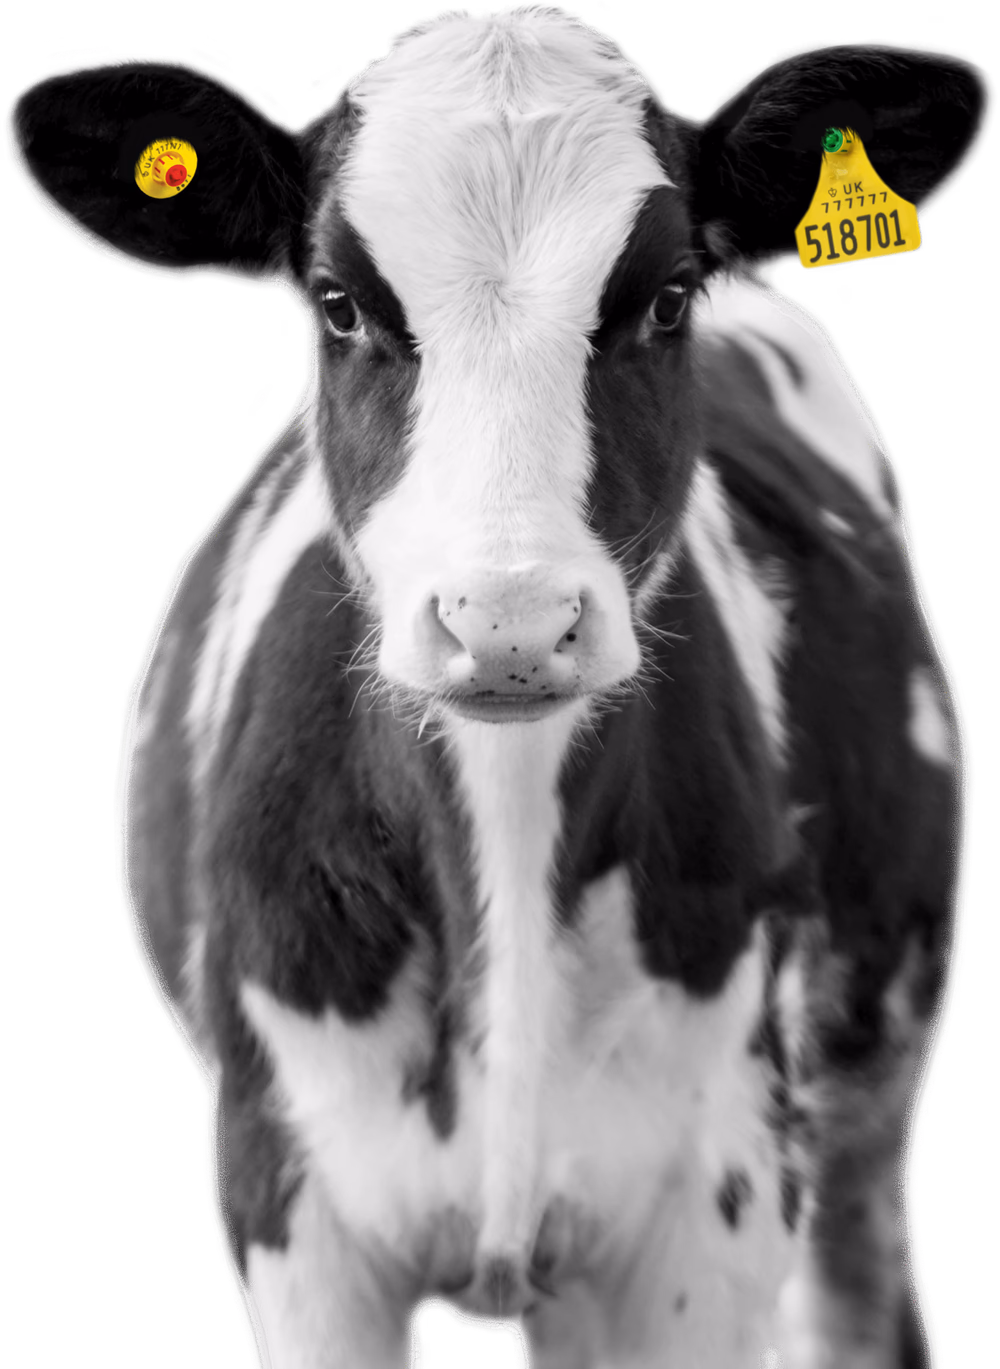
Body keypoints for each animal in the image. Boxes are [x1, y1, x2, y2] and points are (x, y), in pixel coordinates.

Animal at [7, 6, 990, 1367]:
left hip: (863, 1086)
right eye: (337, 304)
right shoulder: (288, 1208)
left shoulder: (711, 1209)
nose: (507, 622)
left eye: (666, 298)